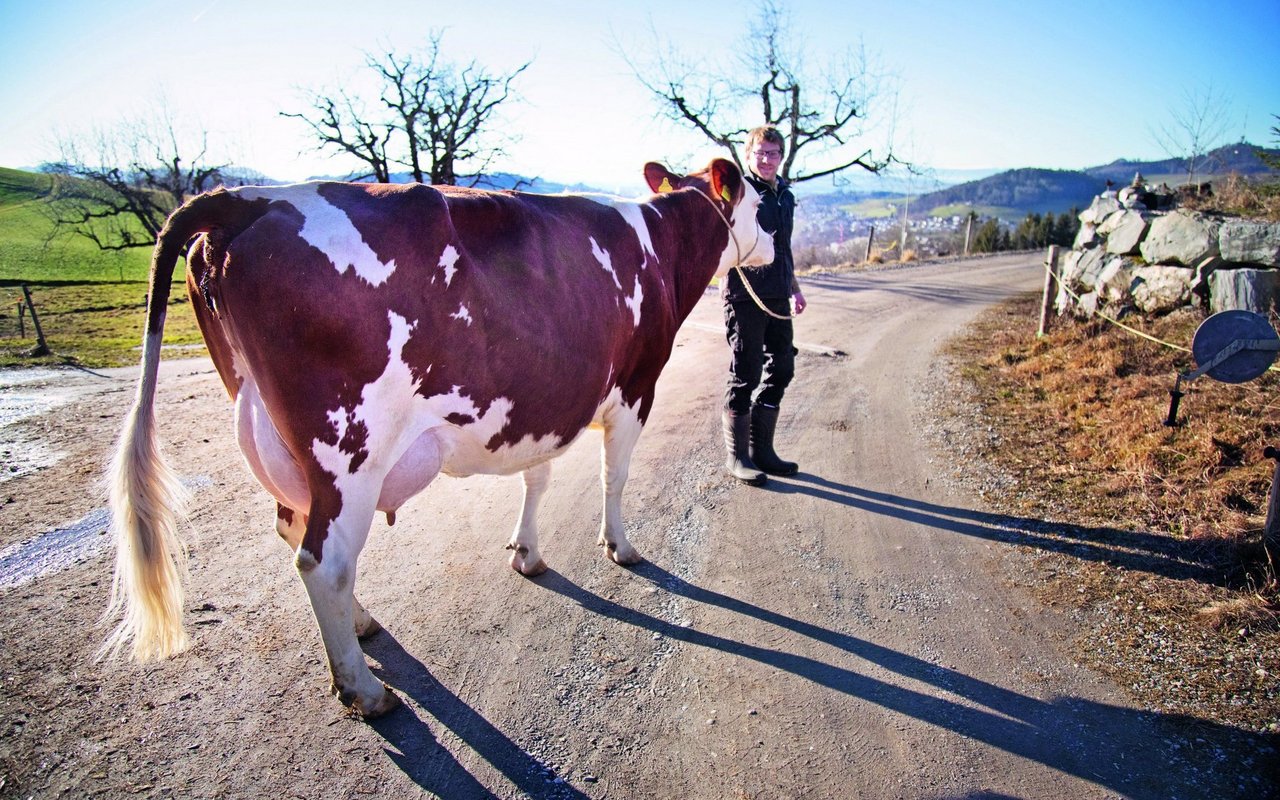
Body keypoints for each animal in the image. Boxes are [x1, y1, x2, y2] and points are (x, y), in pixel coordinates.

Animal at [107, 156, 768, 711]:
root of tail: (251, 200)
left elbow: (538, 477)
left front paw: (527, 552)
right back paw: (363, 689)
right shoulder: (637, 386)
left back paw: (362, 626)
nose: (773, 248)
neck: (660, 245)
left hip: (285, 445)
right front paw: (619, 546)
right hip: (350, 449)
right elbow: (615, 474)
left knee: (295, 529)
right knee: (324, 560)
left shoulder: (544, 400)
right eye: (763, 203)